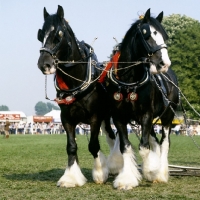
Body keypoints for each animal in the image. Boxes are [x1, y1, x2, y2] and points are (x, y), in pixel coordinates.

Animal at [36, 5, 115, 188]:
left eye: (58, 35)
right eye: (40, 35)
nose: (44, 64)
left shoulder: (95, 117)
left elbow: (93, 145)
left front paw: (100, 173)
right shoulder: (66, 118)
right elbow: (71, 146)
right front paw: (71, 177)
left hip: (108, 117)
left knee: (113, 137)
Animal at [105, 9, 179, 189]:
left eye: (164, 35)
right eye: (148, 35)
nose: (164, 63)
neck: (129, 81)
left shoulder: (146, 115)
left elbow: (144, 147)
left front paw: (151, 170)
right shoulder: (119, 117)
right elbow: (125, 147)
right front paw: (126, 179)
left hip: (167, 117)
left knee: (164, 143)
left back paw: (161, 173)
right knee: (156, 142)